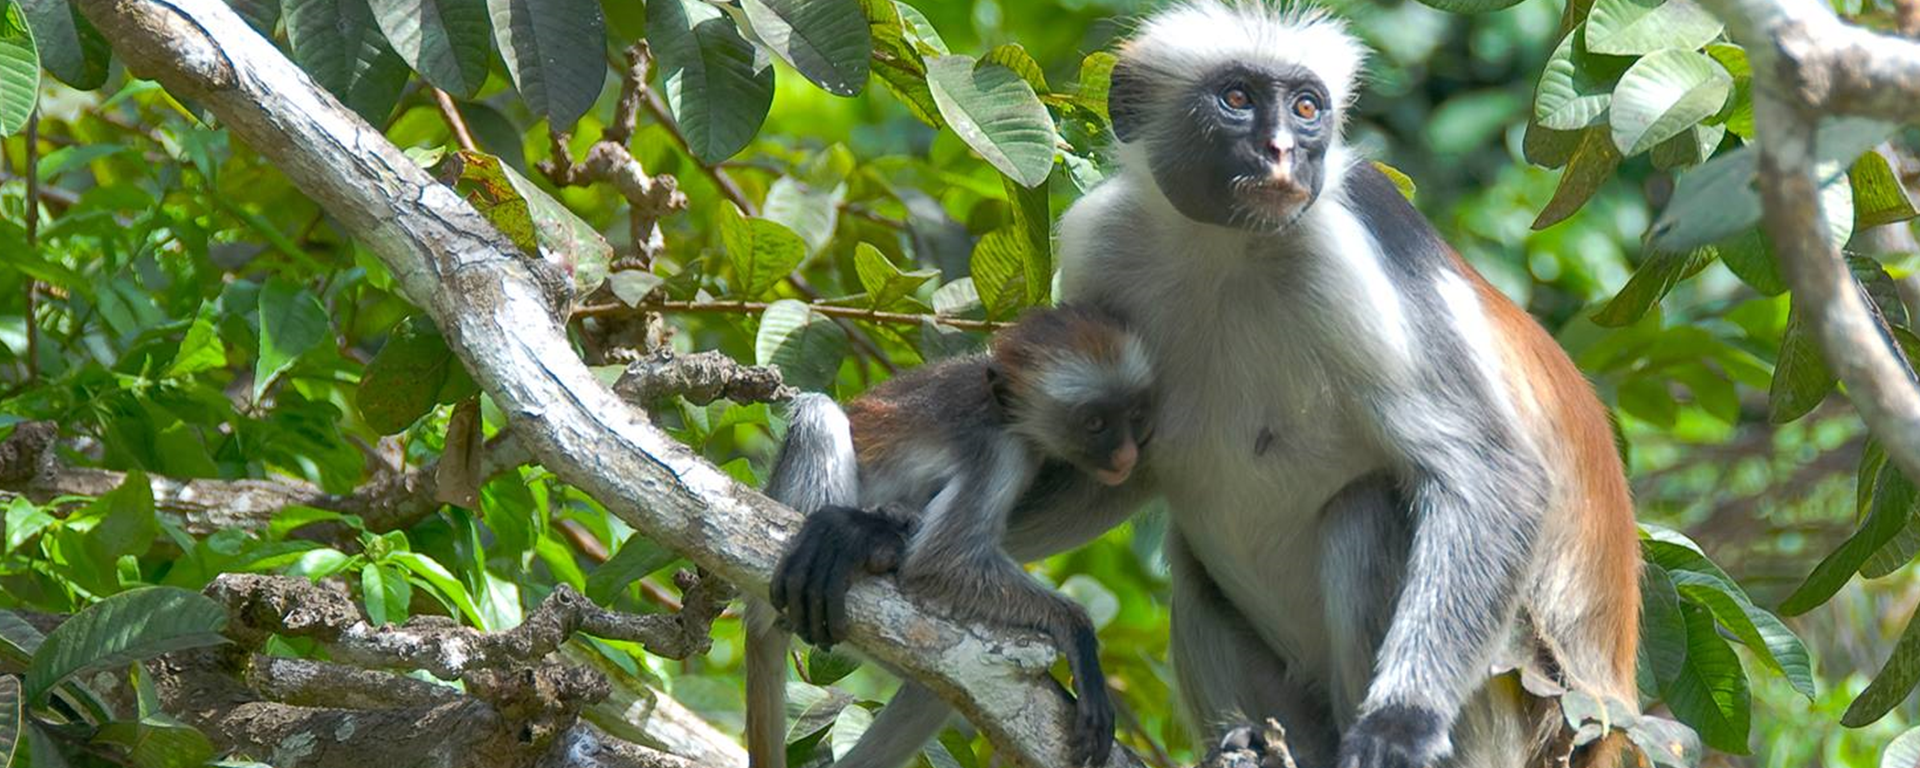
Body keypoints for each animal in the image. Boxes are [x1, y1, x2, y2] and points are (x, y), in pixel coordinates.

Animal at [748, 305, 1152, 768]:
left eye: (1135, 415)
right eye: (1095, 423)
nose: (1127, 456)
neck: (1002, 406)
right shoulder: (1000, 451)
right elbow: (940, 562)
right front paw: (1078, 635)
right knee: (819, 410)